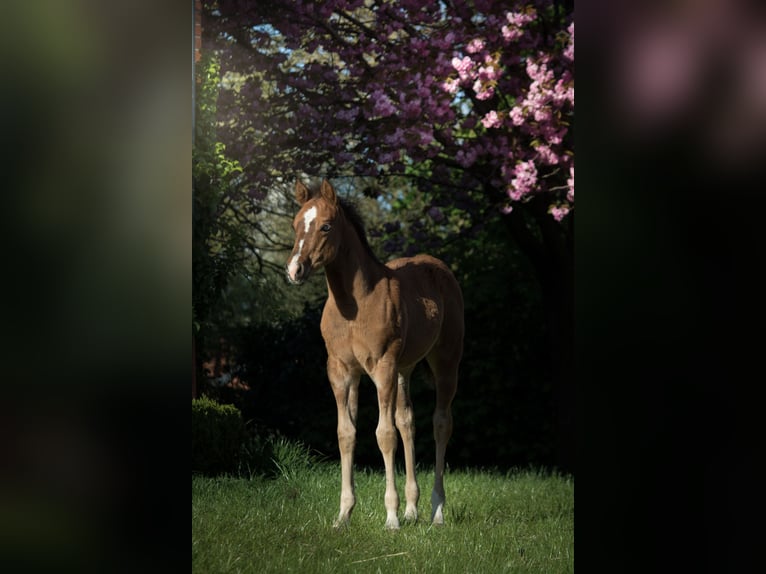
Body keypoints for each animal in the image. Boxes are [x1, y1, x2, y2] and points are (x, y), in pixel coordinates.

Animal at [286, 180, 464, 532]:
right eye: (296, 224)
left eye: (326, 226)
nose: (294, 269)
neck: (355, 303)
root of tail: (441, 268)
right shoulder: (341, 371)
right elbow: (347, 434)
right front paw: (343, 515)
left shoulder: (382, 366)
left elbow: (384, 434)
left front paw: (391, 517)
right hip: (404, 369)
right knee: (408, 420)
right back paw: (413, 509)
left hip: (445, 362)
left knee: (441, 422)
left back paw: (436, 512)